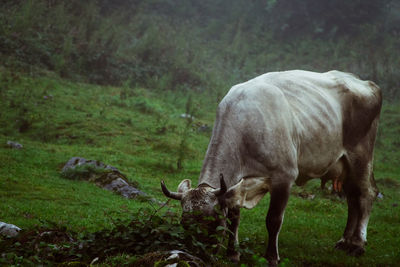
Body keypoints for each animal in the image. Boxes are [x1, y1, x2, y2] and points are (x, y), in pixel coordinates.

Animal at [160, 70, 382, 266]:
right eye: (184, 223)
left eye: (211, 222)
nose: (196, 255)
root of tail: (367, 83)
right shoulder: (236, 185)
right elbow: (234, 219)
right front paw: (233, 254)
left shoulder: (284, 177)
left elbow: (273, 220)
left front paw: (271, 258)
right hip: (345, 166)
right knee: (352, 198)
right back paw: (344, 241)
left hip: (361, 155)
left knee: (366, 194)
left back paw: (357, 244)